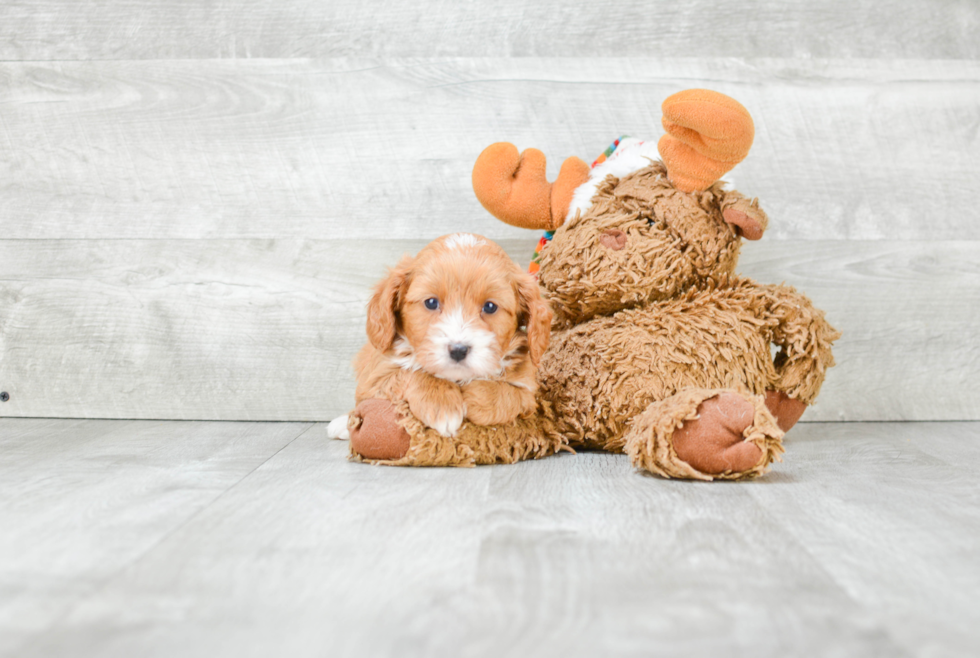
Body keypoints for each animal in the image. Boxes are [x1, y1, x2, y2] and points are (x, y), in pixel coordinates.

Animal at [328, 233, 552, 438]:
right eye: (431, 303)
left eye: (490, 307)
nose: (458, 350)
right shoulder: (375, 375)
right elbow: (411, 372)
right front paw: (442, 403)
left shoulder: (529, 392)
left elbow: (506, 393)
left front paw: (472, 397)